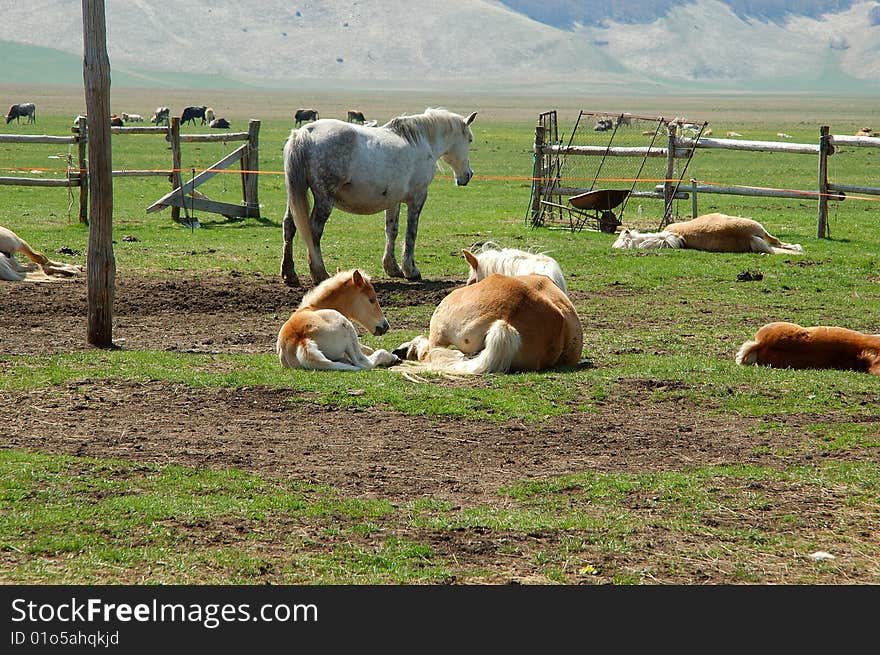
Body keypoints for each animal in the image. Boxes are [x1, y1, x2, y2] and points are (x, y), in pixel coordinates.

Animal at [282, 108, 478, 288]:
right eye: (469, 139)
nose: (468, 175)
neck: (421, 141)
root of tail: (304, 133)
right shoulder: (418, 197)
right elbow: (411, 233)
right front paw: (411, 270)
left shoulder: (393, 201)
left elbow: (392, 230)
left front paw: (393, 268)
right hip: (324, 199)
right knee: (314, 231)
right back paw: (320, 274)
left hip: (295, 194)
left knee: (289, 226)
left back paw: (289, 274)